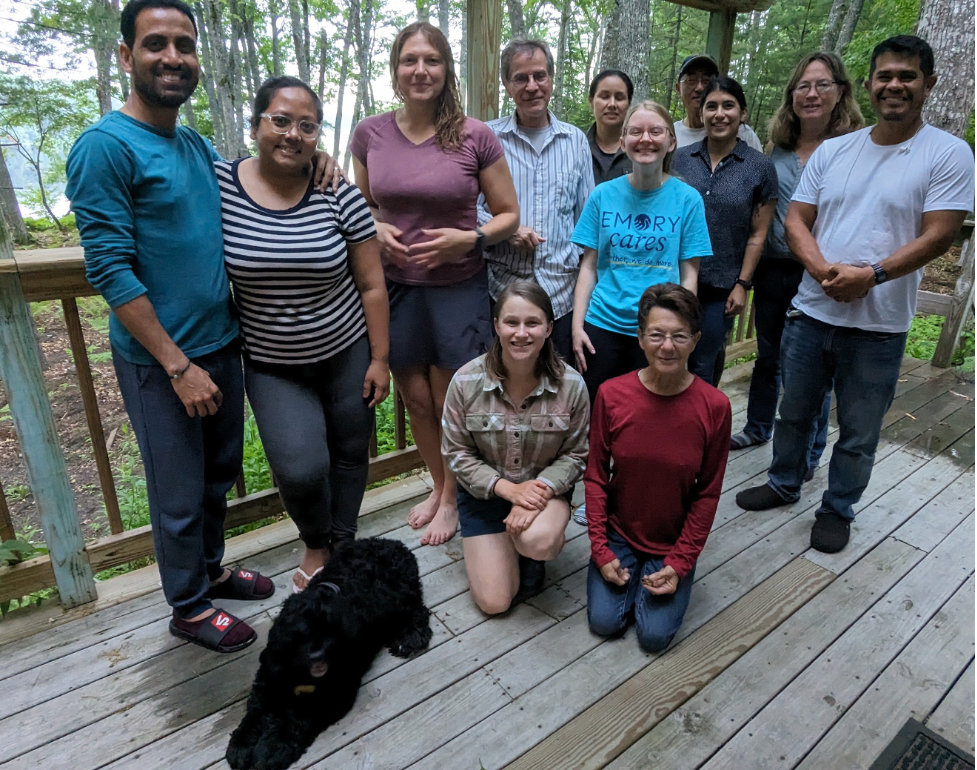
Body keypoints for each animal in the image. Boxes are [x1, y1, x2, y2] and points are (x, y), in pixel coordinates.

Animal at [227, 536, 432, 768]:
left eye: (331, 633)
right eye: (302, 635)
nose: (318, 656)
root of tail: (392, 542)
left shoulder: (336, 689)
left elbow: (298, 718)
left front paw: (274, 748)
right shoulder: (270, 675)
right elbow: (257, 708)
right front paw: (242, 743)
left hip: (400, 592)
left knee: (417, 608)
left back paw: (410, 637)